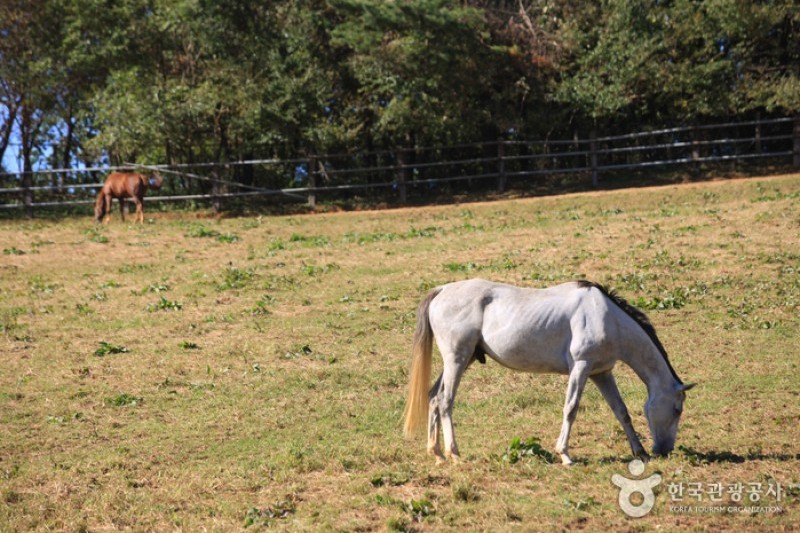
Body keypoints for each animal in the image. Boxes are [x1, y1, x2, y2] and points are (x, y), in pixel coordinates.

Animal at [403, 278, 694, 465]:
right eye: (677, 409)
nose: (664, 451)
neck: (606, 316)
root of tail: (442, 290)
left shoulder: (602, 372)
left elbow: (621, 411)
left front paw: (639, 451)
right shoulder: (581, 367)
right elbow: (571, 408)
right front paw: (564, 454)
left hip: (460, 361)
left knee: (433, 397)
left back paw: (436, 453)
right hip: (456, 360)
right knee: (445, 401)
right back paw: (453, 453)